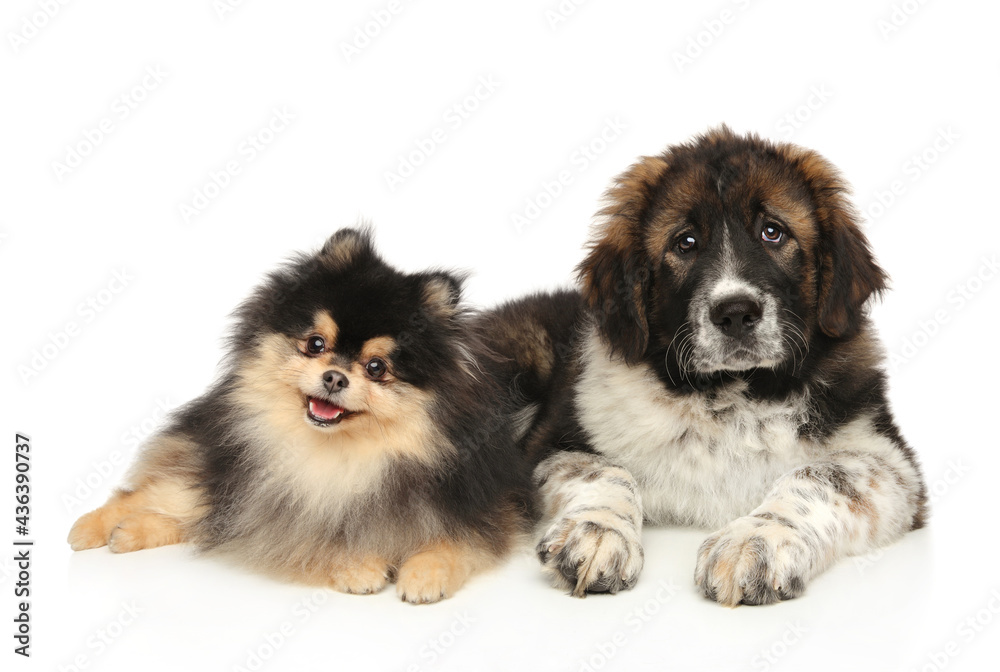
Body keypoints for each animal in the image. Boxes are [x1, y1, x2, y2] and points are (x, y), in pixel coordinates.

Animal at [68, 230, 532, 604]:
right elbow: (315, 539)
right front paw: (358, 563)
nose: (335, 376)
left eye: (376, 367)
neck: (345, 454)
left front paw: (423, 574)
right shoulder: (280, 507)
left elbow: (457, 543)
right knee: (150, 495)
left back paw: (129, 532)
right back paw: (91, 528)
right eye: (315, 344)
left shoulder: (482, 507)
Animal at [480, 126, 924, 604]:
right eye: (685, 243)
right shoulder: (552, 443)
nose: (736, 313)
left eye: (773, 232)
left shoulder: (892, 465)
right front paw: (598, 530)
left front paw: (758, 538)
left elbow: (822, 475)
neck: (729, 394)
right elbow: (605, 469)